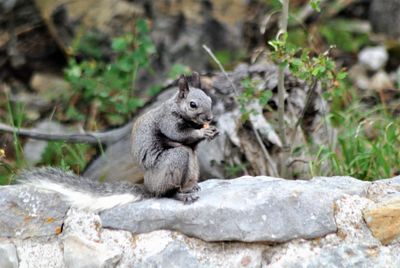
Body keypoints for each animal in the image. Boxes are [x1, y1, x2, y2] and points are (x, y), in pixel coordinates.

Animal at [16, 72, 219, 213]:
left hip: (192, 166)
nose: (210, 117)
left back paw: (191, 187)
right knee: (165, 193)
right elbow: (178, 135)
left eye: (210, 99)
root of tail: (148, 187)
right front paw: (203, 131)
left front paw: (212, 130)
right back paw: (180, 195)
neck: (177, 109)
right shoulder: (167, 121)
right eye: (193, 104)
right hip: (174, 162)